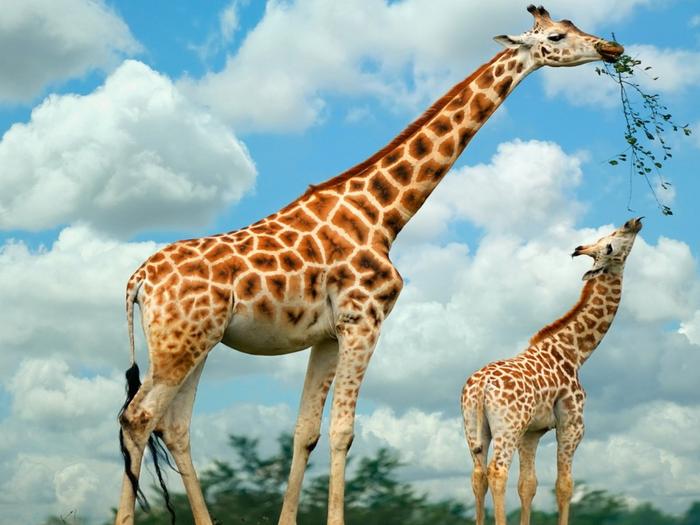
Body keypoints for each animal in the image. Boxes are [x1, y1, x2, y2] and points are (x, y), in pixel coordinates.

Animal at [115, 6, 624, 525]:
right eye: (556, 36)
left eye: (574, 25)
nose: (612, 48)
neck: (384, 215)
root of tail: (138, 280)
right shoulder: (364, 320)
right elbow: (343, 430)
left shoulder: (327, 335)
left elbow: (306, 432)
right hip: (181, 343)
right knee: (137, 417)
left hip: (195, 343)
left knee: (174, 426)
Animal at [461, 217, 643, 525]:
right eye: (610, 243)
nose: (633, 222)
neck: (576, 352)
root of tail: (481, 386)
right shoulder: (572, 424)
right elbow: (565, 485)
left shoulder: (532, 432)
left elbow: (528, 485)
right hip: (506, 427)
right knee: (497, 472)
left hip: (473, 428)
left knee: (478, 476)